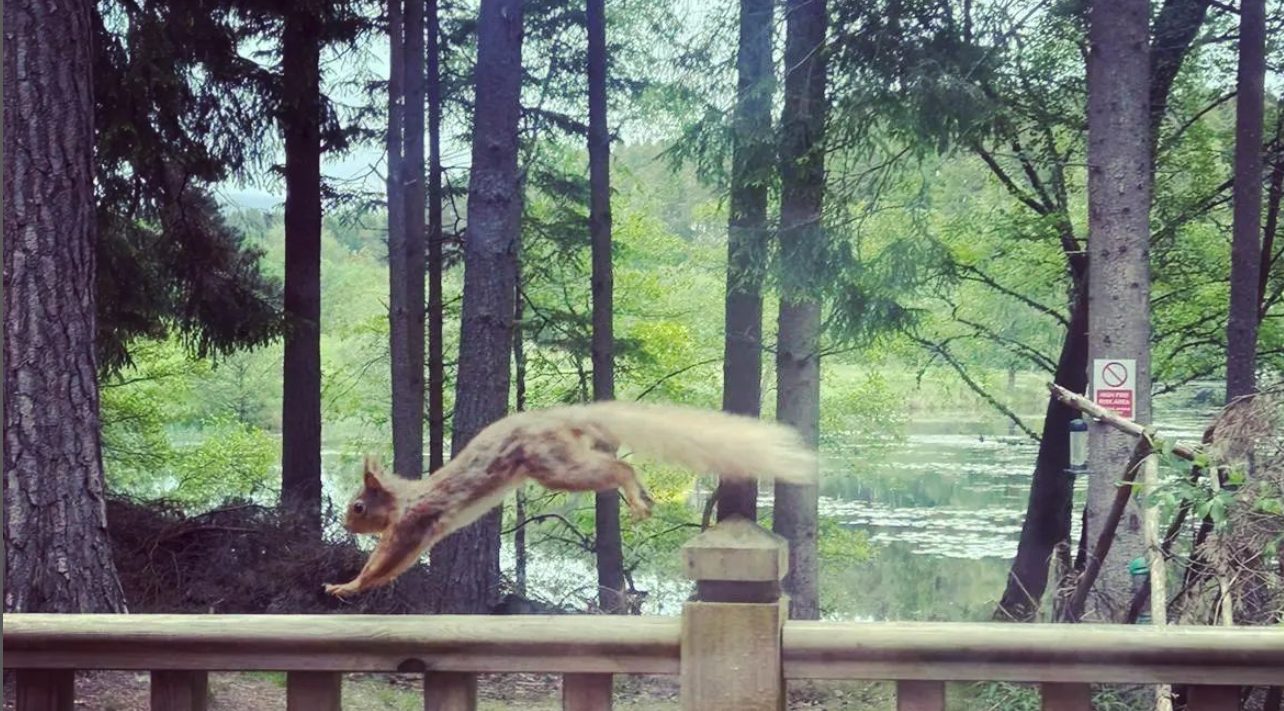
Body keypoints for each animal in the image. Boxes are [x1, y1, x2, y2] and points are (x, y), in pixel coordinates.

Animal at [326, 400, 816, 595]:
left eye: (358, 506)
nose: (346, 523)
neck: (404, 497)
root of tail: (558, 419)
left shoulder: (413, 525)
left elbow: (385, 562)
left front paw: (347, 586)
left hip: (556, 467)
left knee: (618, 468)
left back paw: (635, 496)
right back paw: (642, 497)